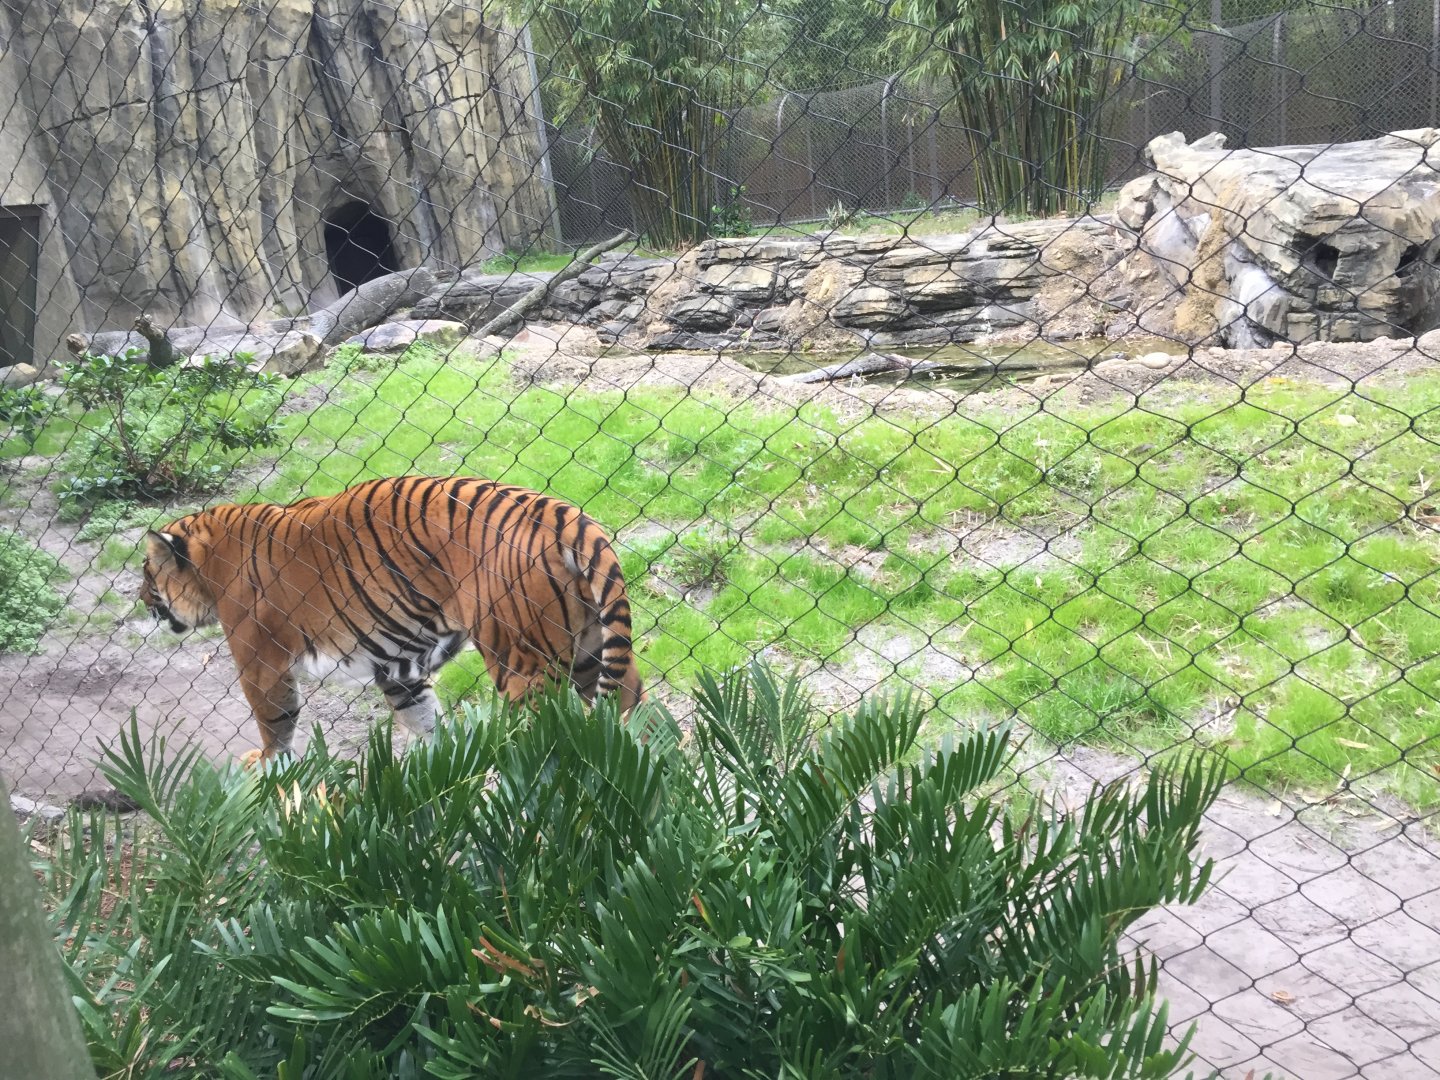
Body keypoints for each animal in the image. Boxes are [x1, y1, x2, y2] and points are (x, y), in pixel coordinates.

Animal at [139, 475, 644, 764]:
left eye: (147, 573)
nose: (140, 598)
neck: (211, 557)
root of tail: (562, 513)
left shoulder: (261, 666)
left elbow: (274, 726)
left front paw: (266, 765)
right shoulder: (400, 671)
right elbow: (425, 722)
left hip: (521, 663)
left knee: (551, 733)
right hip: (590, 648)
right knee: (632, 708)